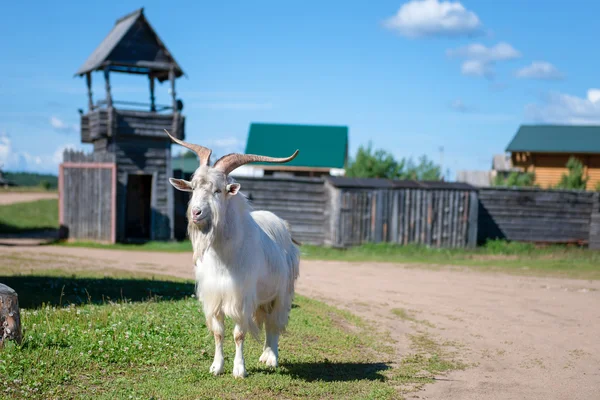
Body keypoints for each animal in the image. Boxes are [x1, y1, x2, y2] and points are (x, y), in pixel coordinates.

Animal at [165, 131, 300, 378]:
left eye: (218, 190)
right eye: (193, 188)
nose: (196, 212)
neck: (223, 257)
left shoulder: (241, 299)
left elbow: (239, 334)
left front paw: (239, 369)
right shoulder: (214, 298)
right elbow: (219, 333)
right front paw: (217, 367)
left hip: (282, 293)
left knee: (274, 324)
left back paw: (272, 358)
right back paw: (265, 355)